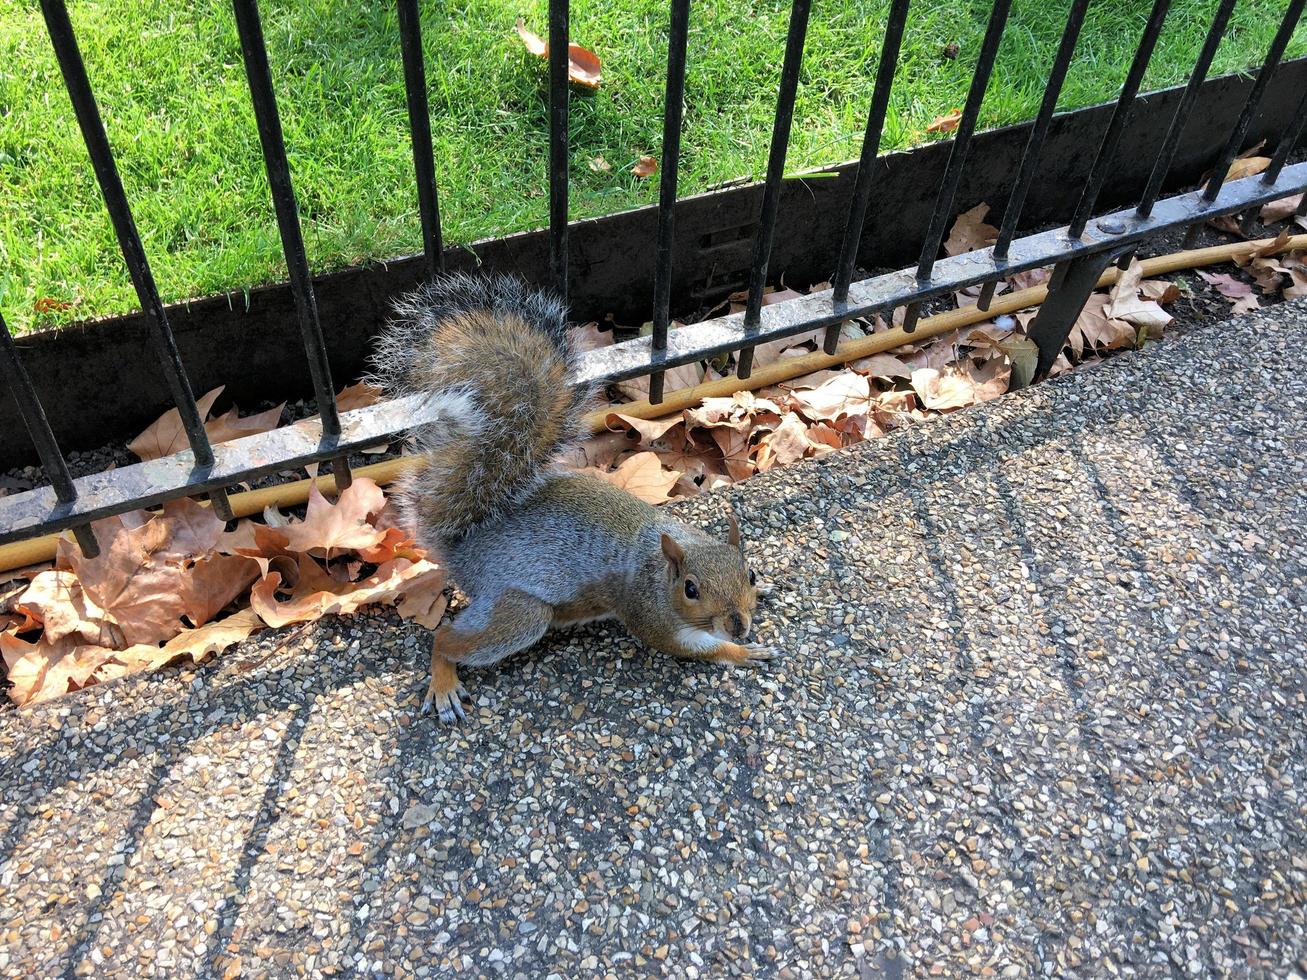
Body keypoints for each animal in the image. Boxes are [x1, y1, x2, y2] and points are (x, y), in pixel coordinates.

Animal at [371, 274, 773, 721]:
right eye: (690, 590)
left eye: (750, 574)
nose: (738, 625)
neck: (661, 563)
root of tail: (464, 549)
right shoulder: (649, 615)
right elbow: (687, 647)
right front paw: (740, 651)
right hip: (520, 611)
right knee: (445, 638)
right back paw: (444, 683)